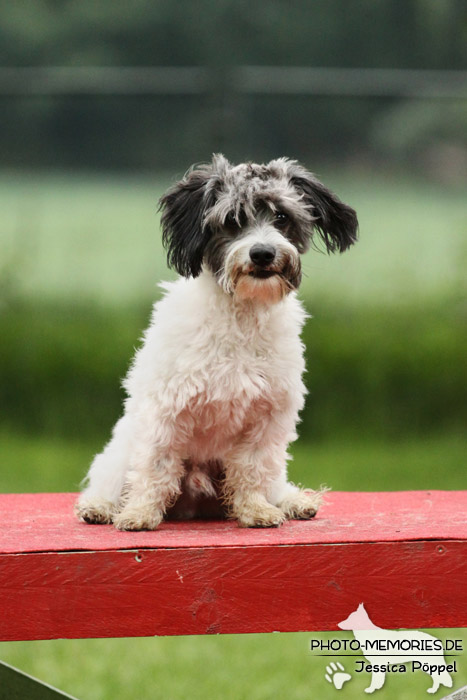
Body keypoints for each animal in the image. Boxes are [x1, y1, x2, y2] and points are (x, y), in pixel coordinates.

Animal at [76, 154, 358, 532]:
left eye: (282, 217)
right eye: (233, 219)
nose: (263, 253)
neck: (241, 315)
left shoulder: (266, 418)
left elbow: (252, 468)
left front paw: (256, 510)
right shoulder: (166, 412)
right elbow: (155, 467)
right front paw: (140, 514)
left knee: (273, 481)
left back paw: (293, 502)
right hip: (120, 452)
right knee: (114, 480)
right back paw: (101, 507)